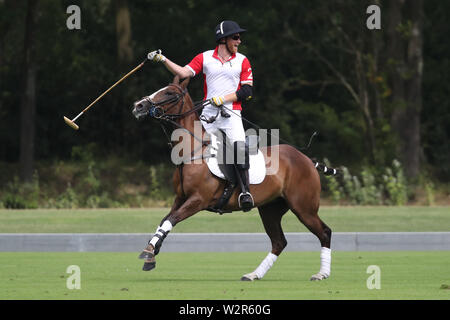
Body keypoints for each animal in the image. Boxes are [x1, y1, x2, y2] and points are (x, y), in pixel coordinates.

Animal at [132, 76, 336, 282]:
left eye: (169, 93)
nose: (138, 106)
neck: (193, 151)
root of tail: (307, 159)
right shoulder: (180, 198)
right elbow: (165, 220)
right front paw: (151, 252)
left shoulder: (198, 200)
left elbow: (171, 219)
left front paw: (149, 251)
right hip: (270, 209)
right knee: (279, 241)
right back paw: (254, 274)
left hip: (304, 207)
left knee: (324, 232)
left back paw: (322, 274)